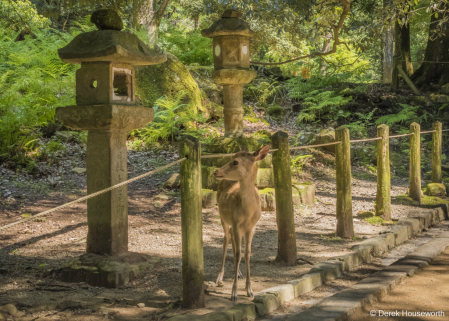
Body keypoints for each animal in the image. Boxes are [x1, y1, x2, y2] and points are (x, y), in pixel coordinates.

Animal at [214, 144, 270, 300]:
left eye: (235, 162)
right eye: (231, 157)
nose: (216, 171)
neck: (248, 213)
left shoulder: (251, 227)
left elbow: (247, 254)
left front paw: (249, 290)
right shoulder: (236, 223)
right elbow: (239, 254)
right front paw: (234, 293)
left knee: (232, 240)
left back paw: (238, 273)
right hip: (223, 218)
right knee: (226, 239)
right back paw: (219, 277)